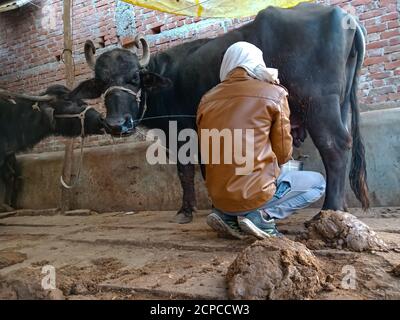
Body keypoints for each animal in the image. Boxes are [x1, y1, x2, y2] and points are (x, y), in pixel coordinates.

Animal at [69, 3, 368, 222]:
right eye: (102, 83)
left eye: (134, 78)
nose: (116, 125)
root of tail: (346, 18)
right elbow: (205, 167)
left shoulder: (181, 132)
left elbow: (185, 171)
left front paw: (185, 211)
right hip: (341, 104)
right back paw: (341, 208)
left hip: (319, 104)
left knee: (335, 146)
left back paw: (329, 210)